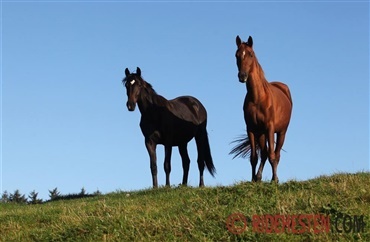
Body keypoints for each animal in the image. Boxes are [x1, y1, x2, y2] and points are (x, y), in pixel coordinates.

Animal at [230, 36, 294, 182]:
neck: (258, 98)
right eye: (237, 55)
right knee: (264, 153)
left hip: (281, 132)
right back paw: (259, 177)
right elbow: (254, 157)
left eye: (250, 54)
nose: (242, 76)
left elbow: (272, 155)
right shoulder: (251, 129)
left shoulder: (270, 128)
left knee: (276, 154)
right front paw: (253, 179)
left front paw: (274, 180)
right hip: (261, 133)